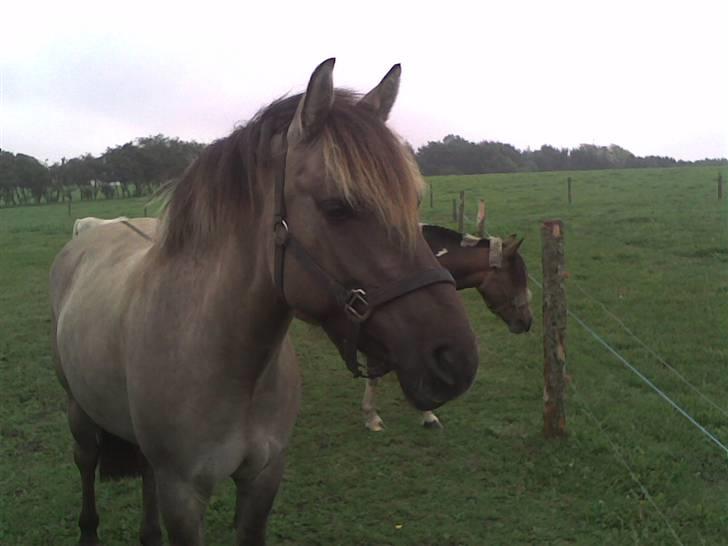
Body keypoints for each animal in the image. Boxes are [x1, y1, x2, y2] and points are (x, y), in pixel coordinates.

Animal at [49, 59, 479, 546]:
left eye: (414, 201)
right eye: (336, 207)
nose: (456, 359)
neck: (227, 363)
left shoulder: (263, 478)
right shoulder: (182, 494)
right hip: (79, 413)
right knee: (85, 463)